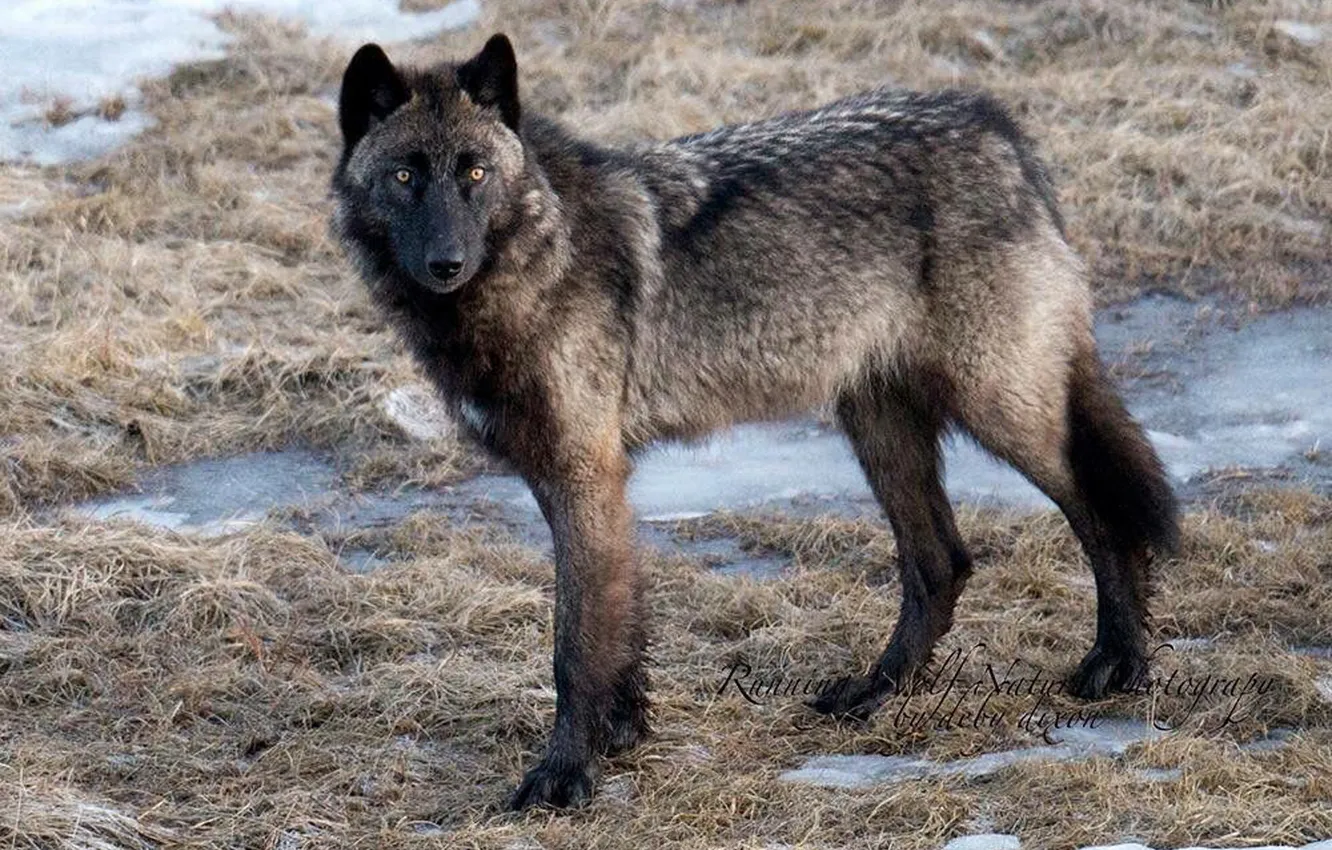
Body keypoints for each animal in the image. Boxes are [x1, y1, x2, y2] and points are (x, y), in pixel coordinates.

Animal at [331, 34, 1179, 810]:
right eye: (406, 176)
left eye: (474, 173)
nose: (445, 262)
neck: (537, 258)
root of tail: (993, 124)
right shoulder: (581, 480)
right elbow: (622, 625)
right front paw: (623, 734)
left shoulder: (584, 475)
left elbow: (576, 646)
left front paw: (565, 774)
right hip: (879, 427)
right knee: (942, 561)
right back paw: (874, 692)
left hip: (998, 410)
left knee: (1099, 510)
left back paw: (1118, 665)